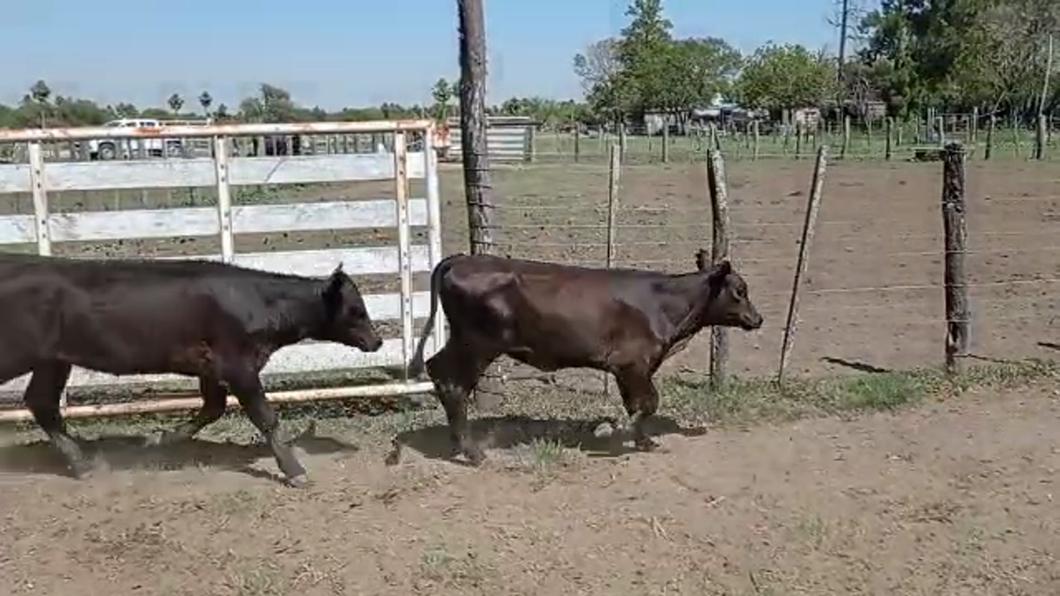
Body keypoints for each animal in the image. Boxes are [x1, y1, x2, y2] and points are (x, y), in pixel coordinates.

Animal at [0, 252, 385, 485]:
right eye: (356, 310)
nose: (377, 340)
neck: (259, 302)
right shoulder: (239, 367)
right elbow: (266, 418)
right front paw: (294, 471)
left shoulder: (211, 370)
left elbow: (211, 409)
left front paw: (159, 438)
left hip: (53, 360)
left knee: (42, 403)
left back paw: (83, 464)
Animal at [404, 248, 763, 462]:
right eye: (740, 290)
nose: (757, 319)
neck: (665, 304)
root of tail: (463, 258)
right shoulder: (632, 363)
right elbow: (648, 403)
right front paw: (627, 436)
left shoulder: (627, 370)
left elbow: (636, 404)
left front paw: (637, 438)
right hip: (477, 345)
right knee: (453, 383)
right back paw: (471, 451)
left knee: (438, 371)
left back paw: (458, 444)